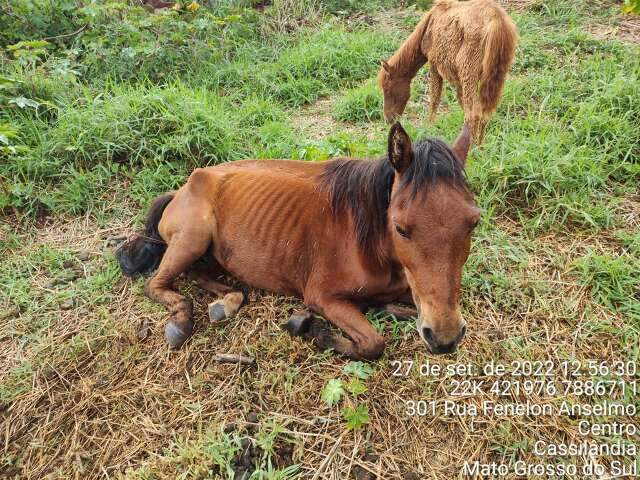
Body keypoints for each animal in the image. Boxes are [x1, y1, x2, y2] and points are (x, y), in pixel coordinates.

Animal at [117, 122, 480, 358]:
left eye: (473, 223)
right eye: (401, 228)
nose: (445, 337)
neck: (371, 243)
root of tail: (182, 188)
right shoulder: (322, 297)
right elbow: (374, 344)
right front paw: (312, 330)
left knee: (201, 276)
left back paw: (227, 302)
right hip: (192, 238)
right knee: (157, 284)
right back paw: (180, 321)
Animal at [378, 0, 516, 144]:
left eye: (387, 89)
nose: (388, 119)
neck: (428, 26)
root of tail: (496, 19)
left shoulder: (434, 65)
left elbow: (434, 99)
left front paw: (429, 126)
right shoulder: (458, 78)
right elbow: (460, 101)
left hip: (468, 71)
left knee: (474, 112)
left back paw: (472, 147)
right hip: (494, 76)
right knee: (484, 111)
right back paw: (480, 145)